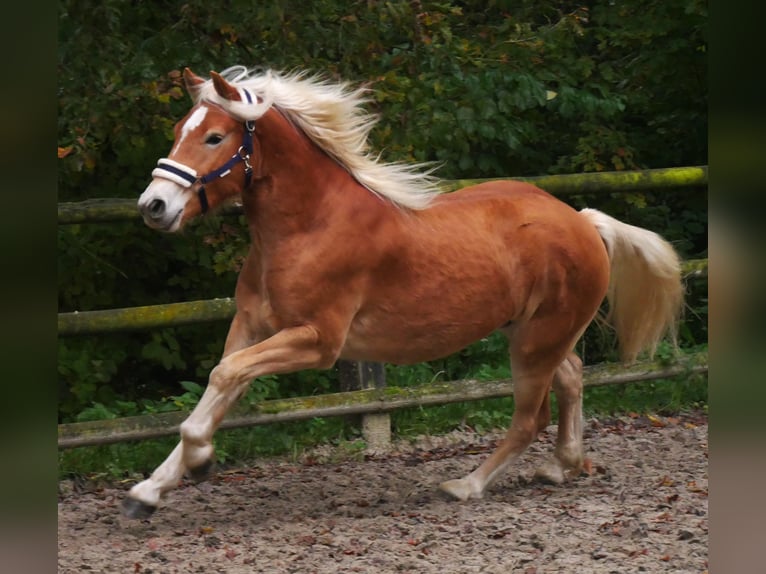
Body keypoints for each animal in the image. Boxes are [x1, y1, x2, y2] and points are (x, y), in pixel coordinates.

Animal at [124, 65, 684, 520]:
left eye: (215, 137)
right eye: (179, 130)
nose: (153, 206)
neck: (310, 225)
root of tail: (584, 221)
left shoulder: (317, 341)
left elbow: (221, 382)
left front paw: (199, 461)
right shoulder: (251, 327)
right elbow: (222, 386)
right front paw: (149, 491)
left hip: (535, 342)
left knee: (532, 416)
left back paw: (466, 485)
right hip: (535, 333)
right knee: (571, 377)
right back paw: (562, 465)